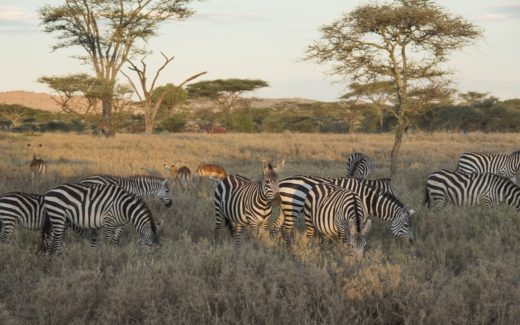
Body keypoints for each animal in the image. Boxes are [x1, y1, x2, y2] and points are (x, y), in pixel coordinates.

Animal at [272, 175, 414, 246]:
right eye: (406, 225)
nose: (412, 242)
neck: (365, 197)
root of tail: (282, 182)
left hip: (284, 209)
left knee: (277, 226)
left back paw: (275, 244)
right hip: (293, 207)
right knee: (286, 228)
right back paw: (288, 247)